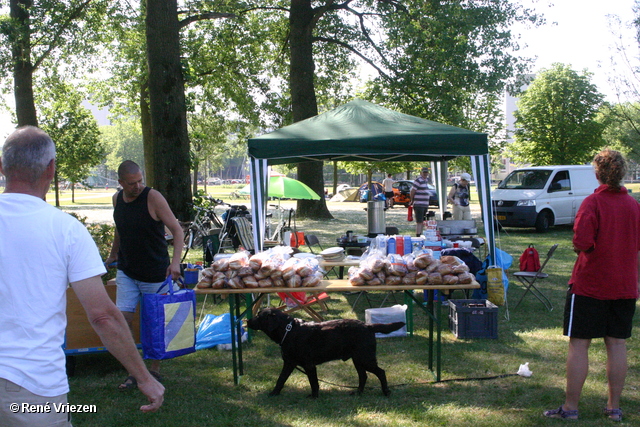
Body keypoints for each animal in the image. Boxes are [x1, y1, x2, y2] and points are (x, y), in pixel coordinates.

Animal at [246, 308, 404, 398]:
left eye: (259, 316)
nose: (247, 321)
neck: (288, 331)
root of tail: (368, 325)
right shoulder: (289, 363)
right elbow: (281, 379)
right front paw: (274, 394)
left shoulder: (309, 365)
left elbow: (314, 383)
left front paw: (314, 397)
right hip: (358, 360)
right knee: (363, 376)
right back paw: (358, 393)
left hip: (365, 358)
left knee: (381, 372)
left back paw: (386, 392)